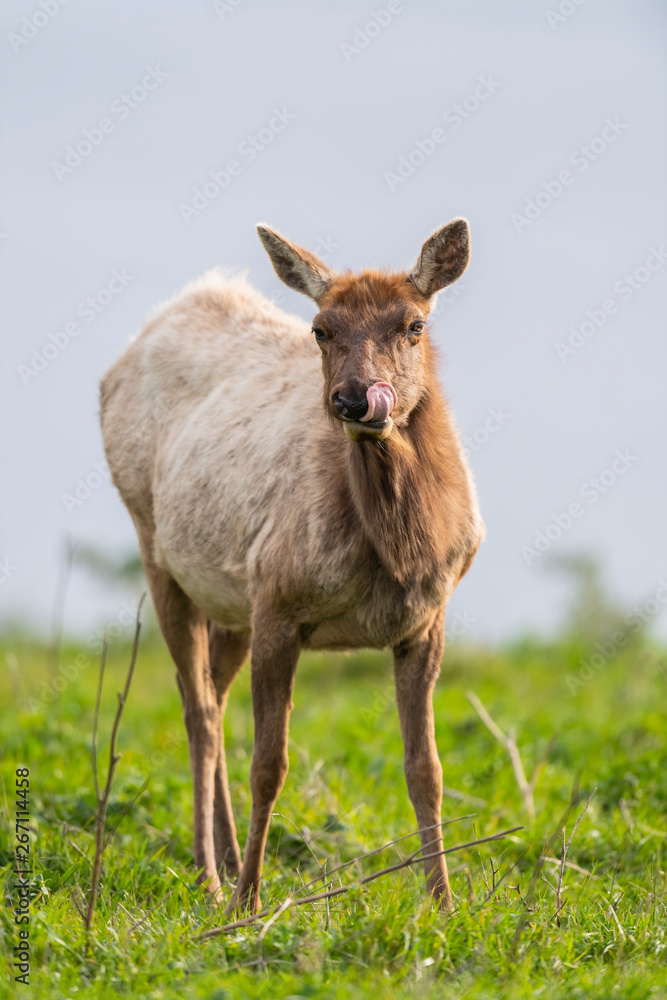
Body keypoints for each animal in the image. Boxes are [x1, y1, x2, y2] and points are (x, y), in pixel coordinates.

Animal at [99, 218, 484, 916]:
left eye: (413, 323)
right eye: (320, 328)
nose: (355, 399)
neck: (401, 550)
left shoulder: (426, 619)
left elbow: (427, 768)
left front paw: (442, 902)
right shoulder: (279, 598)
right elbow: (269, 764)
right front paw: (249, 902)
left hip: (230, 601)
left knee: (212, 695)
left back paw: (224, 857)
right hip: (155, 547)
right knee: (199, 711)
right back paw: (211, 874)